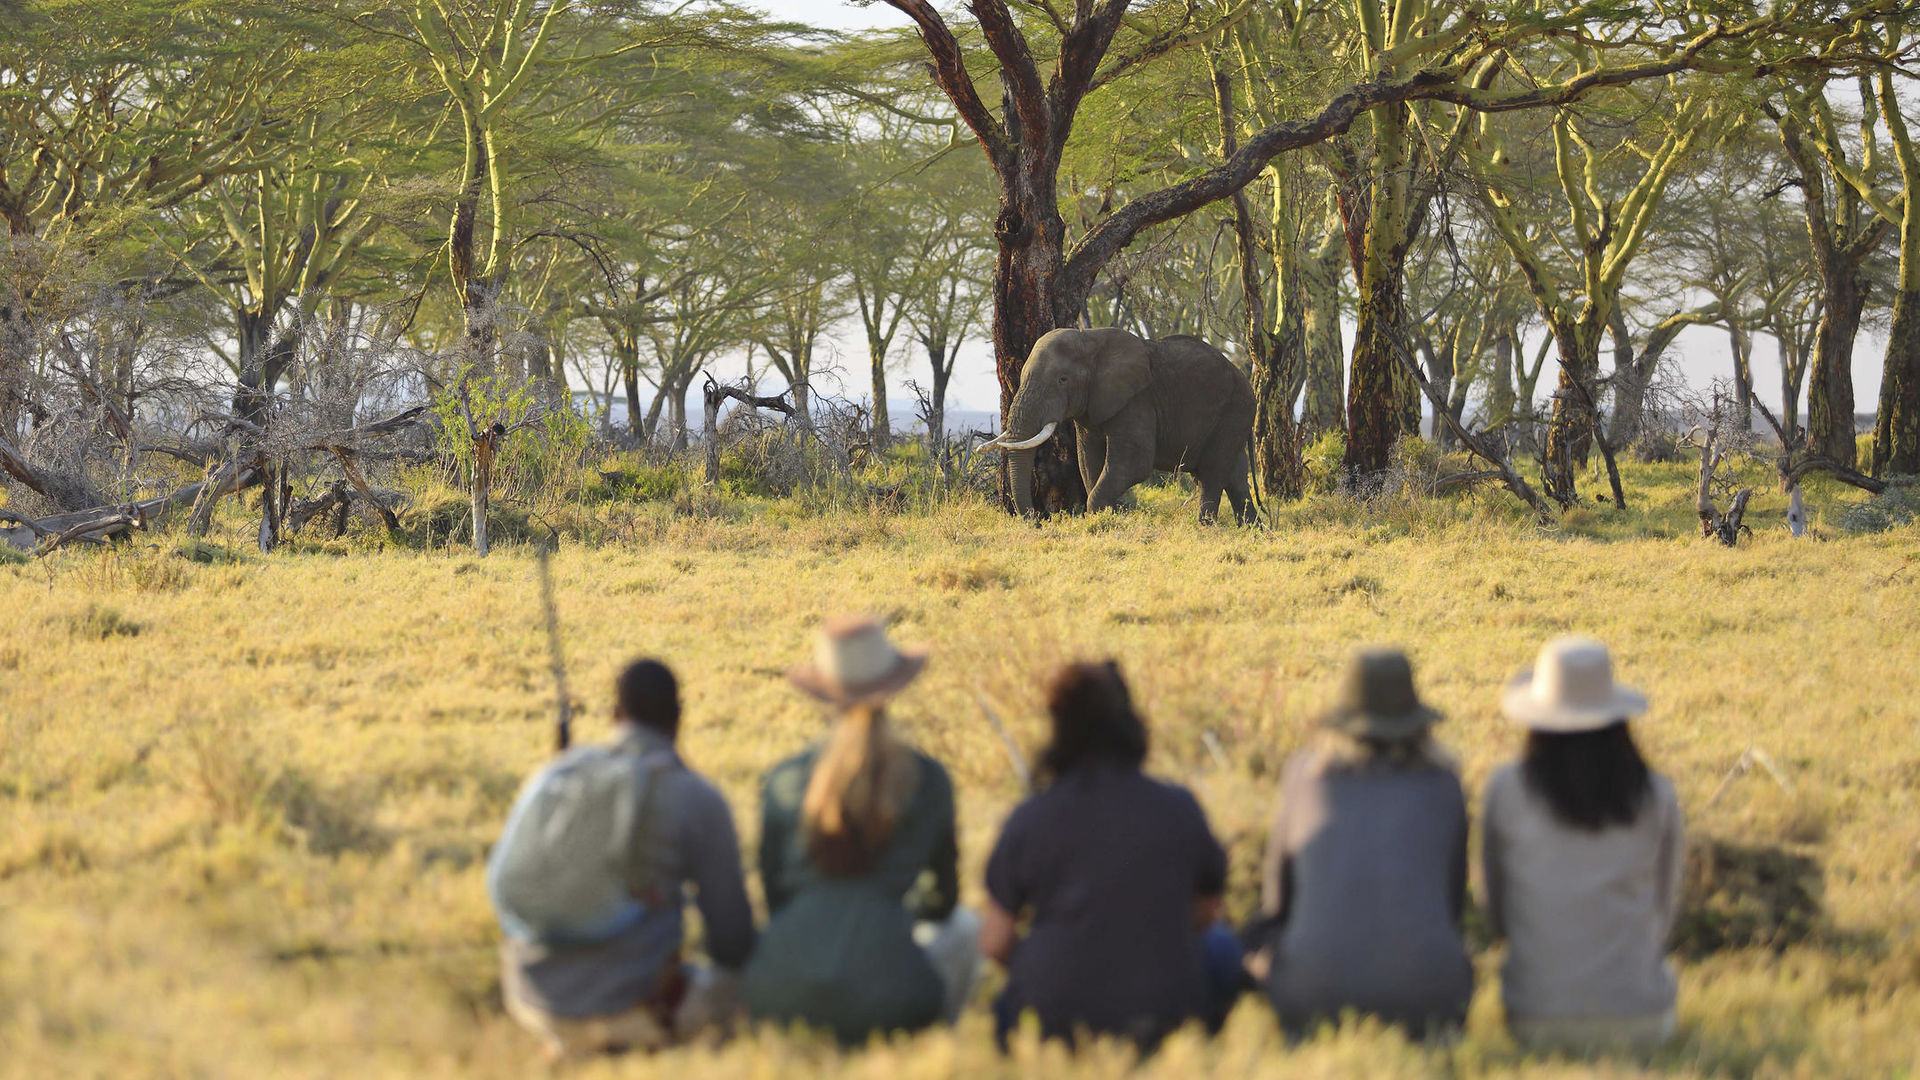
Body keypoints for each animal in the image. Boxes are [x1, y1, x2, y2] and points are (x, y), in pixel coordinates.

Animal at [990, 326, 1259, 522]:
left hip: (1234, 411)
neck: (1089, 338)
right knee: (1234, 476)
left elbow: (1134, 464)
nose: (1036, 520)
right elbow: (1088, 461)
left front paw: (1103, 518)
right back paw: (1252, 528)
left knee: (1212, 474)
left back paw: (1205, 526)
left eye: (1062, 380)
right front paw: (1108, 518)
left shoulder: (1137, 401)